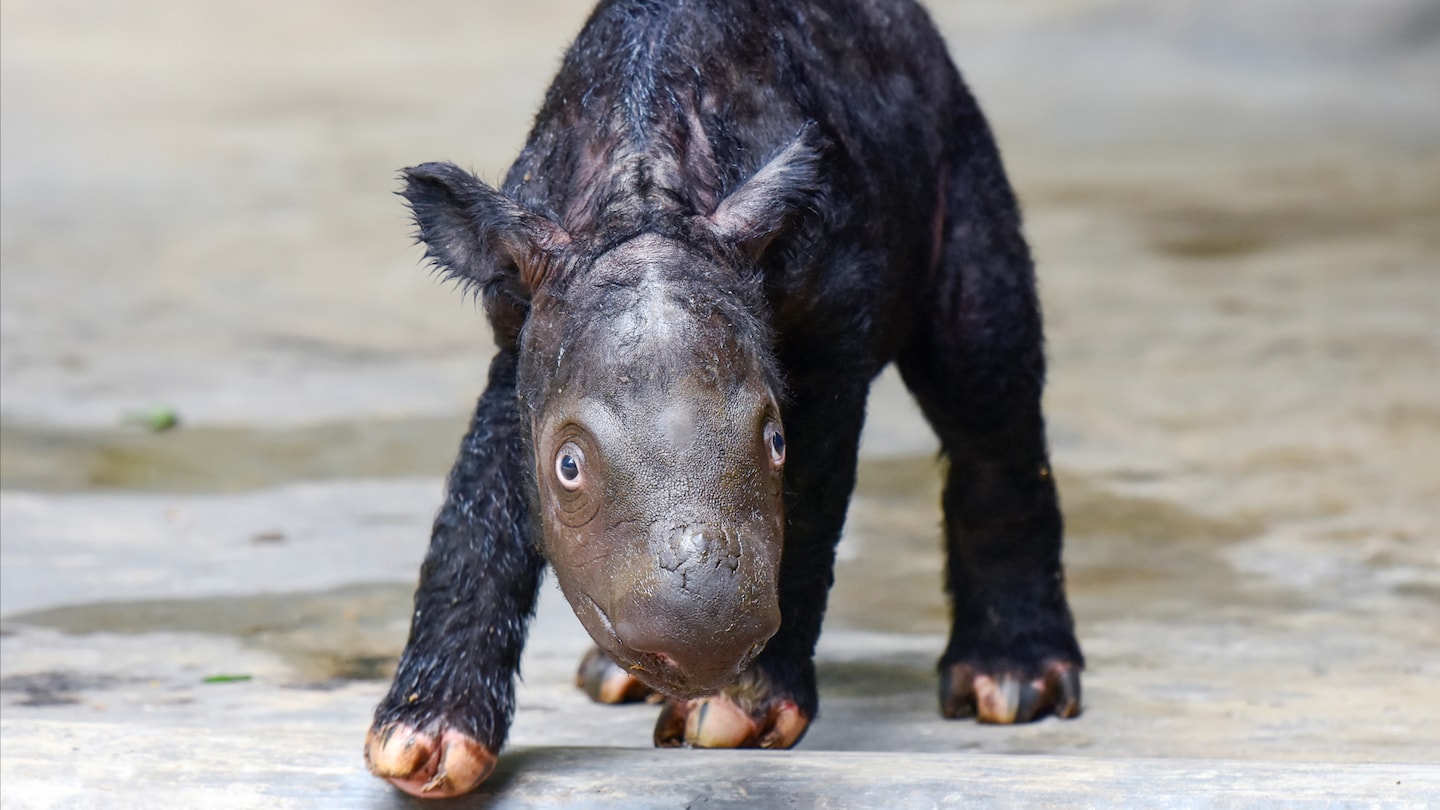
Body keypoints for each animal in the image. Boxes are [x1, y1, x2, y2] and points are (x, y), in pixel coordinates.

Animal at [365, 0, 1082, 795]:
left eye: (774, 440)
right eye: (568, 467)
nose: (702, 649)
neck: (643, 196)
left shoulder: (832, 324)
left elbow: (811, 500)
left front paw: (736, 714)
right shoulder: (523, 326)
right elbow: (480, 500)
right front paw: (422, 744)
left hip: (958, 148)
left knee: (984, 380)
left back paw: (1011, 686)